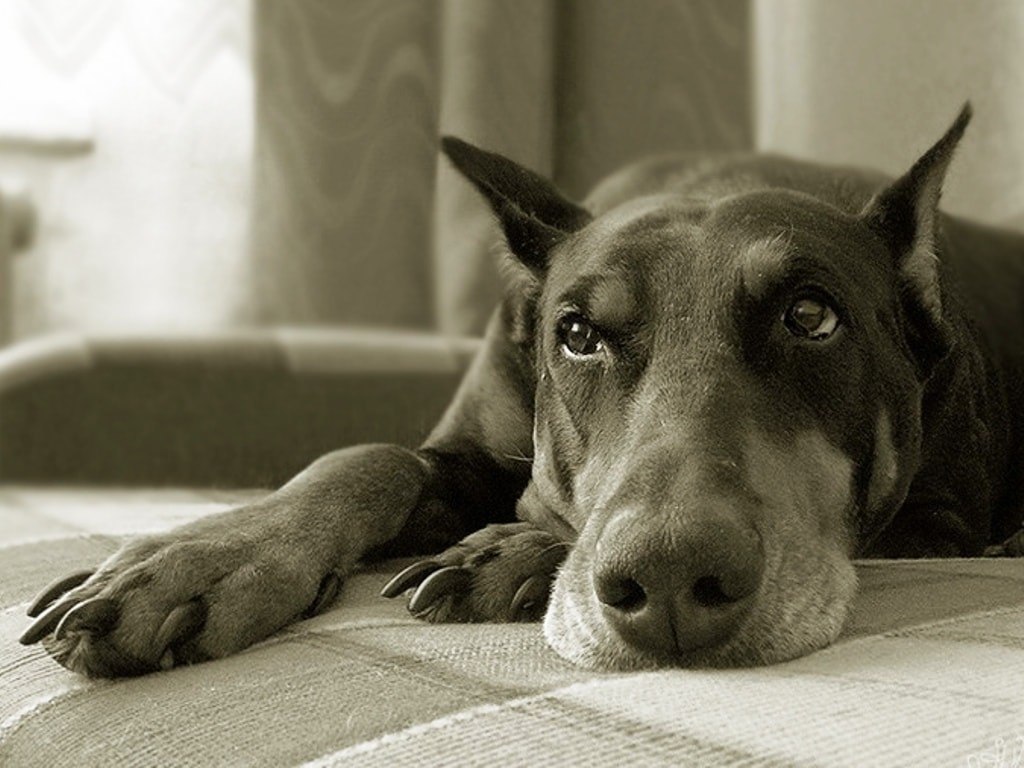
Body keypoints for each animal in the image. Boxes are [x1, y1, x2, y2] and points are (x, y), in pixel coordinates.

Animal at [19, 105, 1024, 675]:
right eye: (575, 335)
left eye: (812, 316)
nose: (671, 580)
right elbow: (370, 456)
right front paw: (201, 557)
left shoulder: (939, 521)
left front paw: (513, 547)